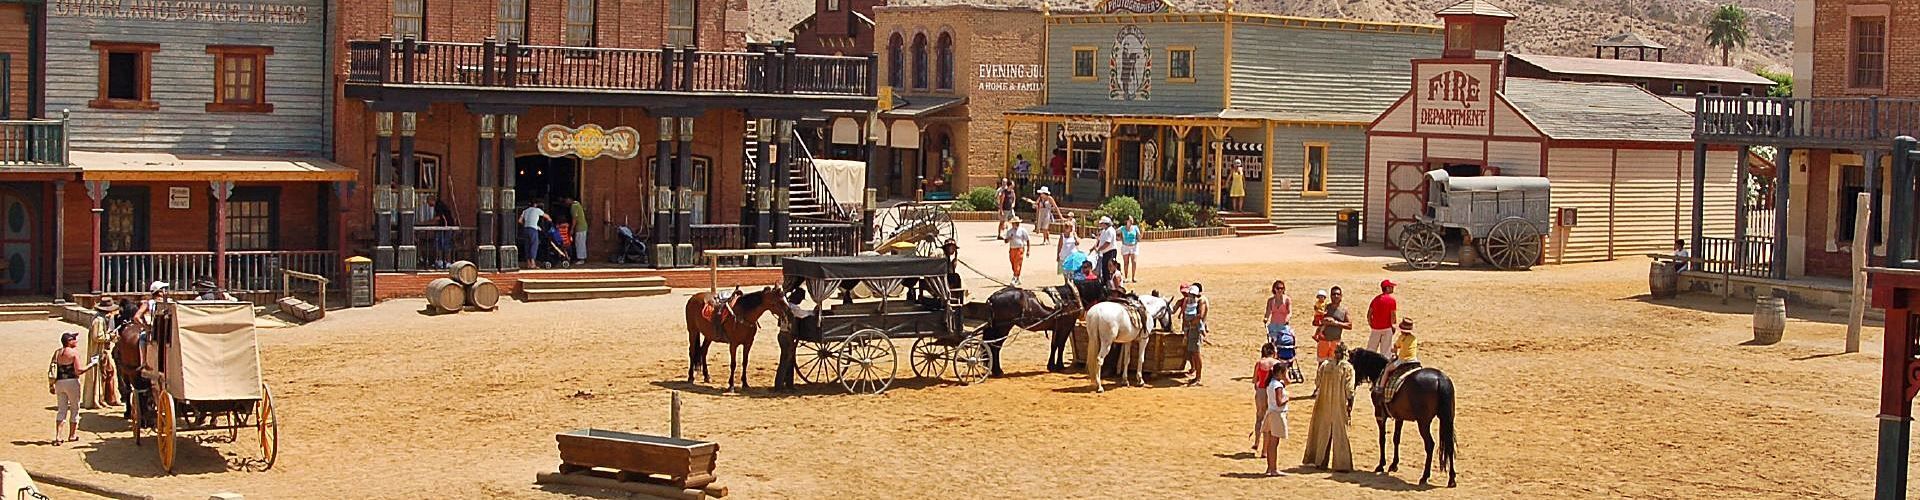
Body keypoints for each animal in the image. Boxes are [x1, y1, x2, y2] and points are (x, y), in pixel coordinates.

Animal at [1344, 350, 1459, 486]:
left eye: (1352, 364)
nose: (1352, 387)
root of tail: (1439, 379)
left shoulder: (1380, 415)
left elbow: (1382, 439)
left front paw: (1381, 465)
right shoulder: (1399, 417)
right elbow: (1396, 438)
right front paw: (1394, 465)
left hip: (1423, 423)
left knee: (1430, 445)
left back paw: (1424, 476)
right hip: (1448, 420)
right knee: (1449, 444)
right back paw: (1451, 479)